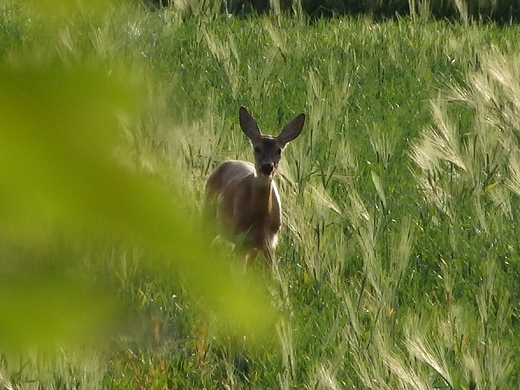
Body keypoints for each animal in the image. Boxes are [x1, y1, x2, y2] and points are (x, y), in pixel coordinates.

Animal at [205, 108, 304, 270]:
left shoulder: (270, 244)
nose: (267, 166)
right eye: (257, 148)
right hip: (208, 213)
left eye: (279, 150)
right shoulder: (241, 240)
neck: (260, 216)